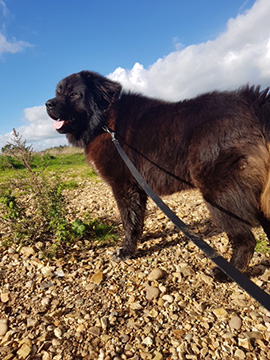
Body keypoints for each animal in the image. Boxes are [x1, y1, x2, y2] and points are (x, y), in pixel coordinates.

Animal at [46, 69, 270, 280]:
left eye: (74, 94)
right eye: (58, 92)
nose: (48, 103)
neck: (104, 122)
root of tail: (253, 103)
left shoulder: (123, 185)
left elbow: (128, 219)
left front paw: (126, 251)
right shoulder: (137, 186)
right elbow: (137, 218)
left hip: (220, 195)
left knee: (245, 240)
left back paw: (226, 274)